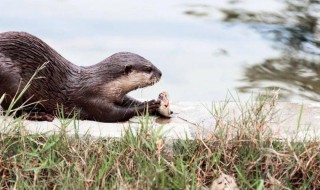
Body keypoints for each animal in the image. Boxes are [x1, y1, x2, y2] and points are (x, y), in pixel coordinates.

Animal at [0, 31, 161, 122]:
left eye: (151, 62)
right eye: (148, 68)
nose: (161, 73)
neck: (103, 84)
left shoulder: (118, 96)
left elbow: (129, 101)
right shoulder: (90, 98)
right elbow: (113, 114)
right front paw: (149, 105)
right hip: (10, 77)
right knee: (13, 110)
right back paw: (39, 116)